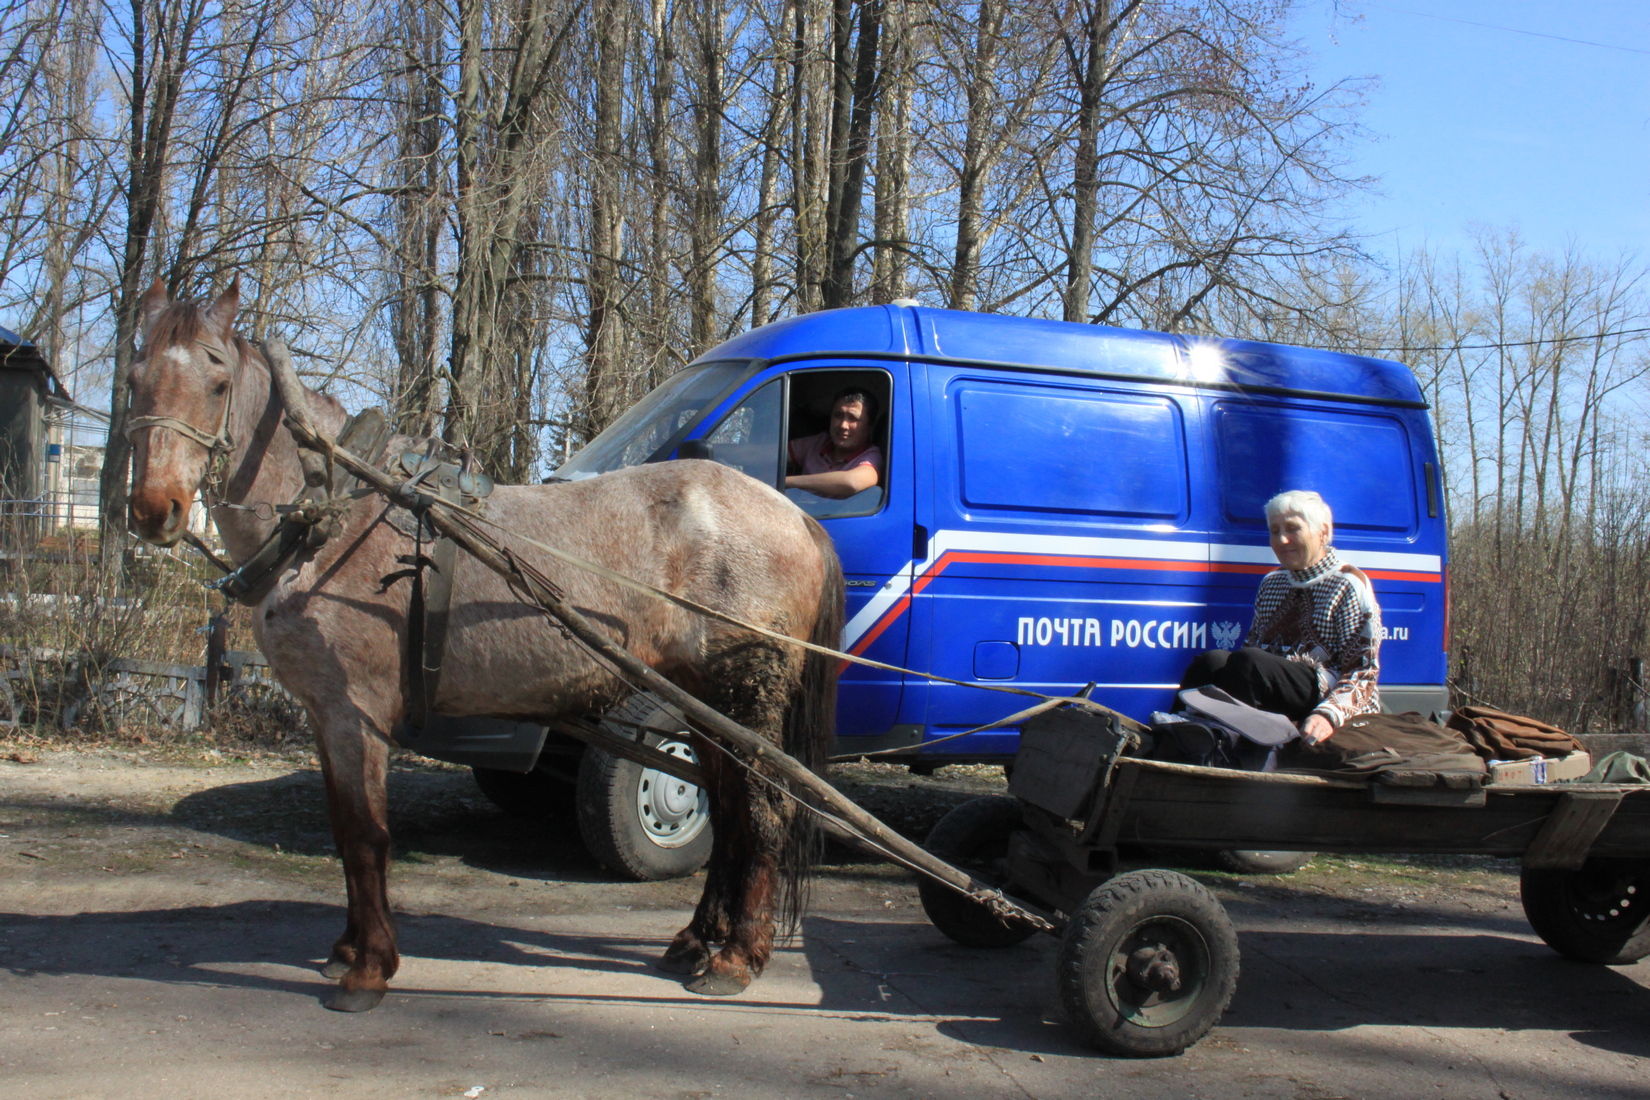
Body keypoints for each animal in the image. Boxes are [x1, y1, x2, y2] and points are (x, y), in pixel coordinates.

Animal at [127, 277, 844, 1015]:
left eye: (216, 377)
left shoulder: (355, 713)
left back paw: (737, 956)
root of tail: (795, 517)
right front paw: (349, 950)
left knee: (762, 811)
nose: (155, 510)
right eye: (134, 373)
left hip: (745, 696)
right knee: (728, 812)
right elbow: (344, 827)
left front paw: (369, 969)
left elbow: (365, 834)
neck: (337, 515)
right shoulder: (325, 716)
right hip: (705, 706)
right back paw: (699, 939)